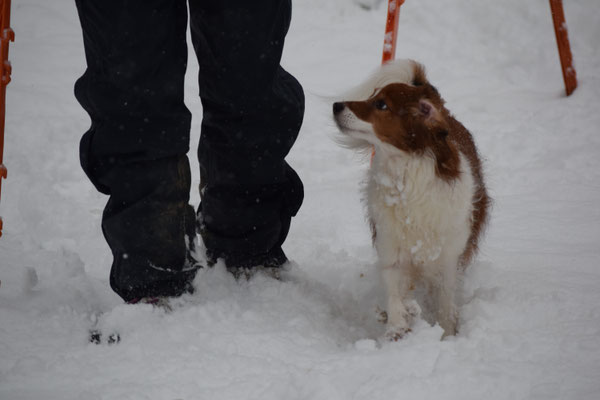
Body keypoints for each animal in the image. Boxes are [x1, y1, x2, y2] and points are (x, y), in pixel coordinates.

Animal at [330, 59, 490, 340]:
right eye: (372, 96)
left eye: (381, 104)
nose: (336, 105)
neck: (405, 174)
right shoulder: (392, 249)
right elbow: (395, 295)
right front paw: (396, 329)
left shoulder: (448, 260)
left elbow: (446, 305)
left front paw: (447, 336)